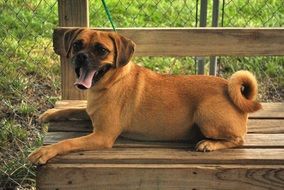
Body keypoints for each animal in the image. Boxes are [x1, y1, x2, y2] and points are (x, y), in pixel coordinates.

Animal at [28, 28, 262, 165]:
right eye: (77, 44)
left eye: (102, 50)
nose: (81, 57)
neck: (111, 82)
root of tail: (230, 91)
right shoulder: (89, 113)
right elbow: (72, 108)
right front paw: (51, 113)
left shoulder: (101, 136)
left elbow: (67, 142)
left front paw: (45, 151)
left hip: (205, 116)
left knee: (238, 140)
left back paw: (209, 144)